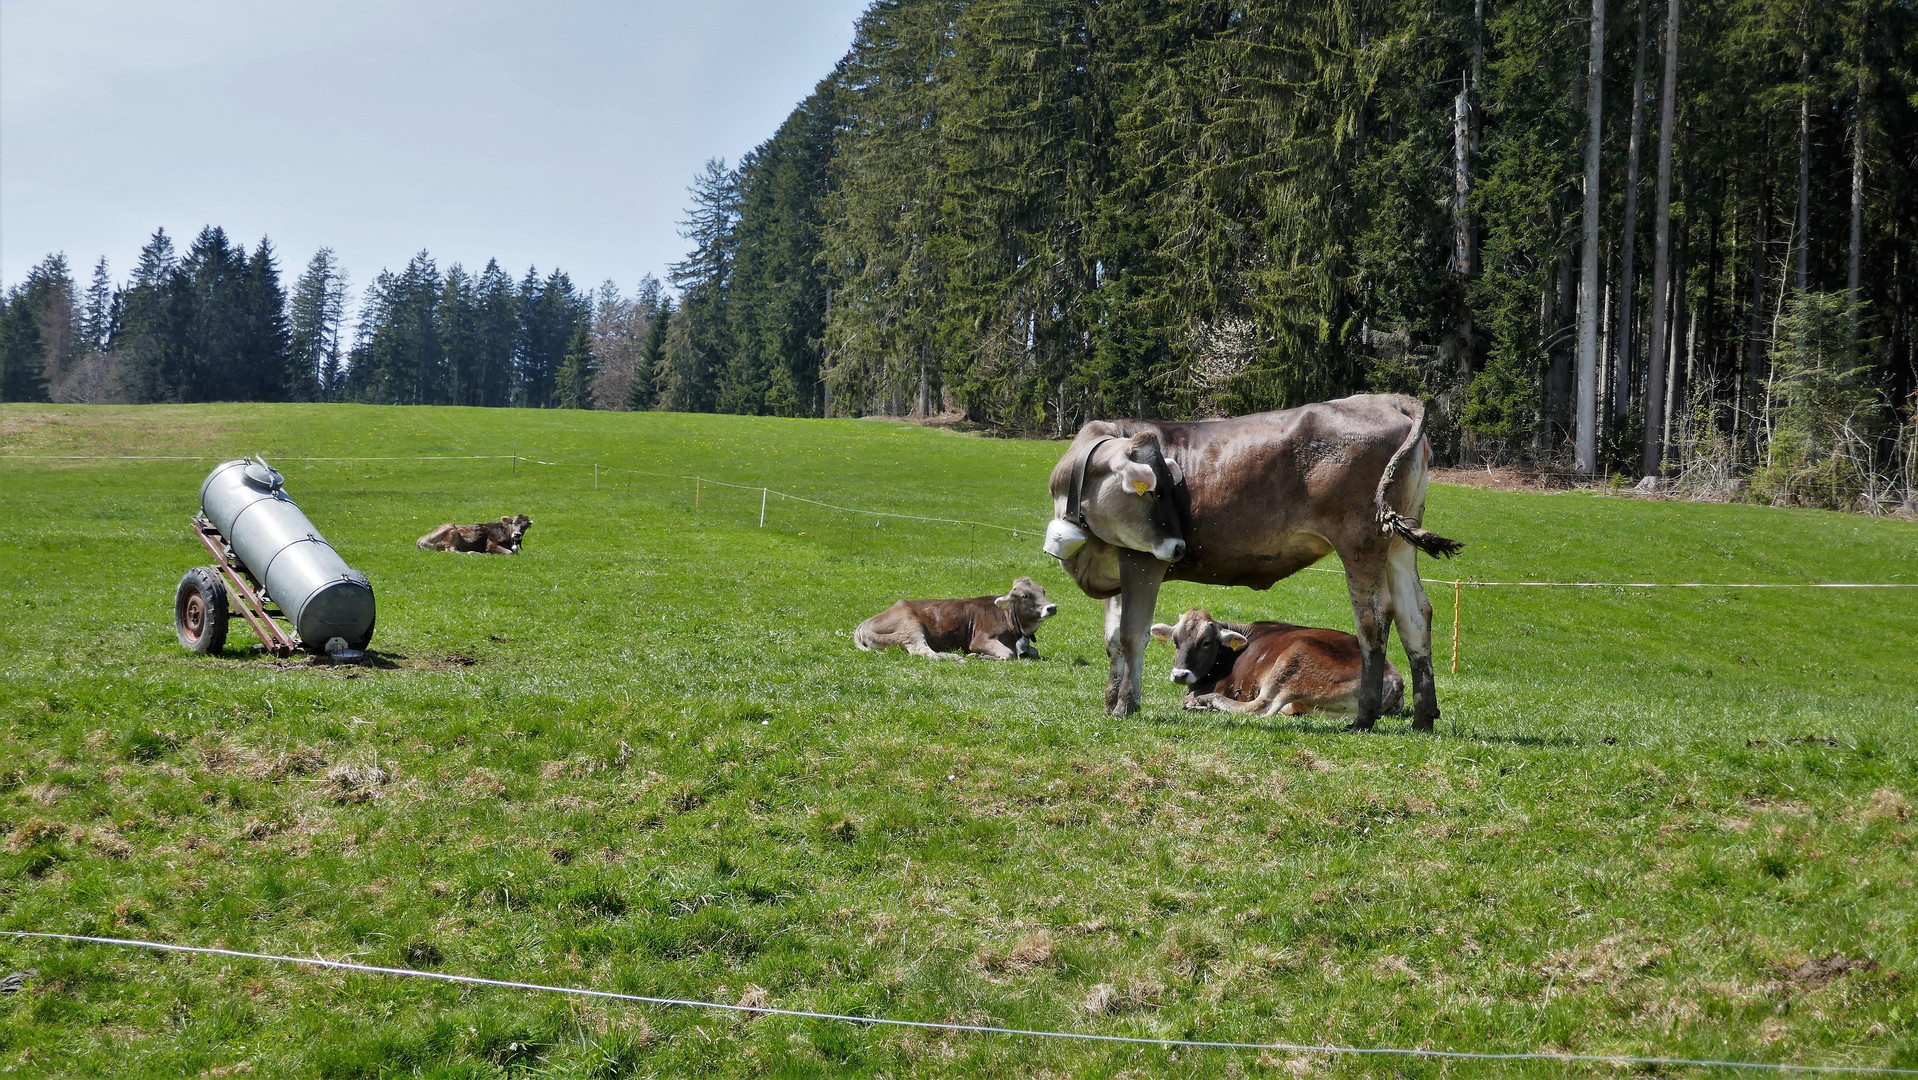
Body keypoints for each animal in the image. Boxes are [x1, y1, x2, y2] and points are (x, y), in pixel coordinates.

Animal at [859, 575, 1066, 659]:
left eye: (1043, 590)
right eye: (1024, 596)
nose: (1051, 607)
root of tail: (863, 624)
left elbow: (1033, 652)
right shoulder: (980, 639)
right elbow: (1009, 654)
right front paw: (979, 655)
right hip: (910, 626)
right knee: (923, 652)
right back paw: (956, 657)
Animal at [1143, 610, 1403, 717]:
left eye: (1206, 642)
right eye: (1175, 640)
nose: (1180, 674)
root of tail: (1394, 676)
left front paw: (1197, 700)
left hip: (1293, 659)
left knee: (1261, 707)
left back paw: (1205, 702)